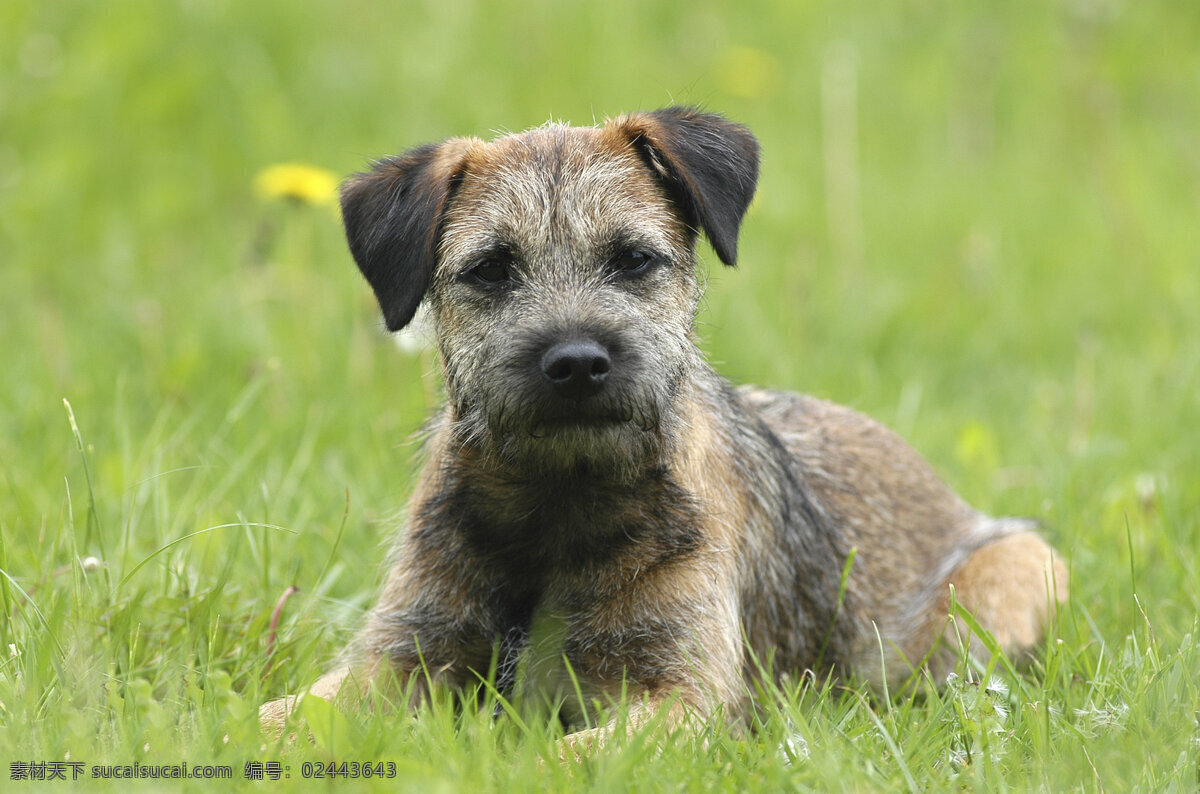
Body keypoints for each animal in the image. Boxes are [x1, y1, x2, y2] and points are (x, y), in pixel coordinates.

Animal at [260, 107, 1070, 753]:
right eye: (491, 269)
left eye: (633, 259)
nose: (577, 361)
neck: (559, 507)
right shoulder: (396, 656)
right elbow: (283, 711)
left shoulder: (688, 696)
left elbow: (573, 754)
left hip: (1013, 577)